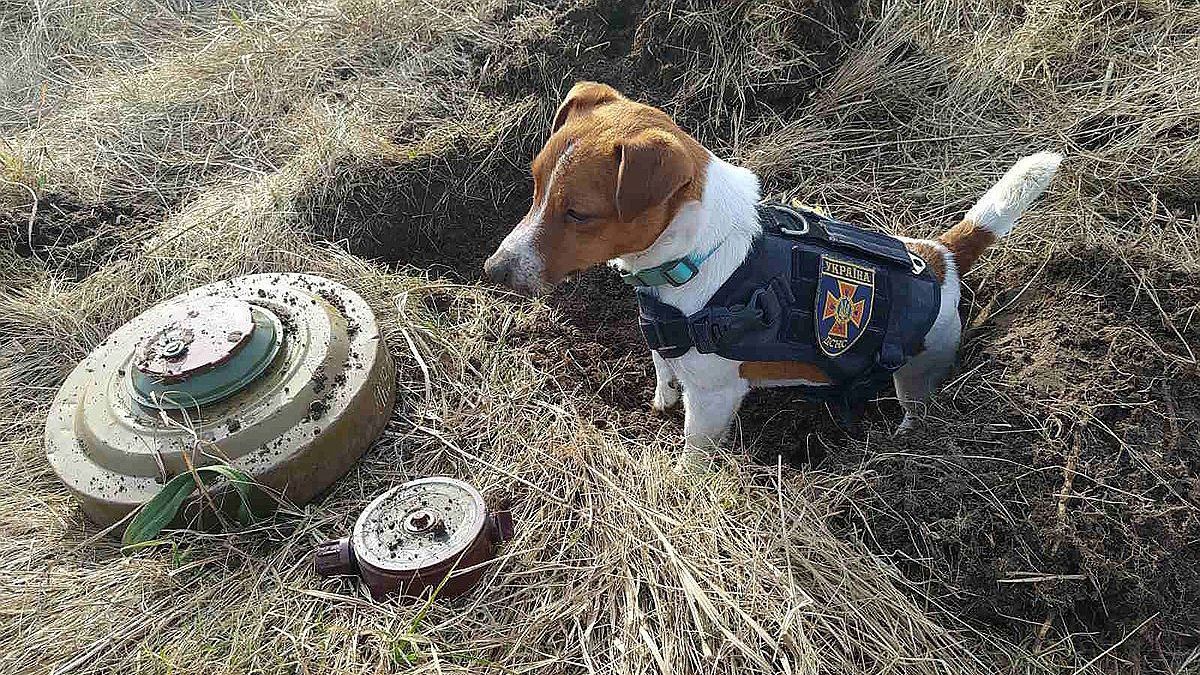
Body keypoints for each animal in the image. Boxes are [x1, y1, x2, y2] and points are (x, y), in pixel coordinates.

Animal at [482, 78, 1065, 456]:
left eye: (579, 214)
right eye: (535, 184)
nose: (493, 270)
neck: (695, 257)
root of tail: (939, 255)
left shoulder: (714, 398)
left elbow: (695, 448)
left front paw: (685, 483)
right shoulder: (667, 346)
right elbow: (665, 373)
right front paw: (660, 401)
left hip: (920, 369)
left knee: (917, 404)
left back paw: (905, 439)